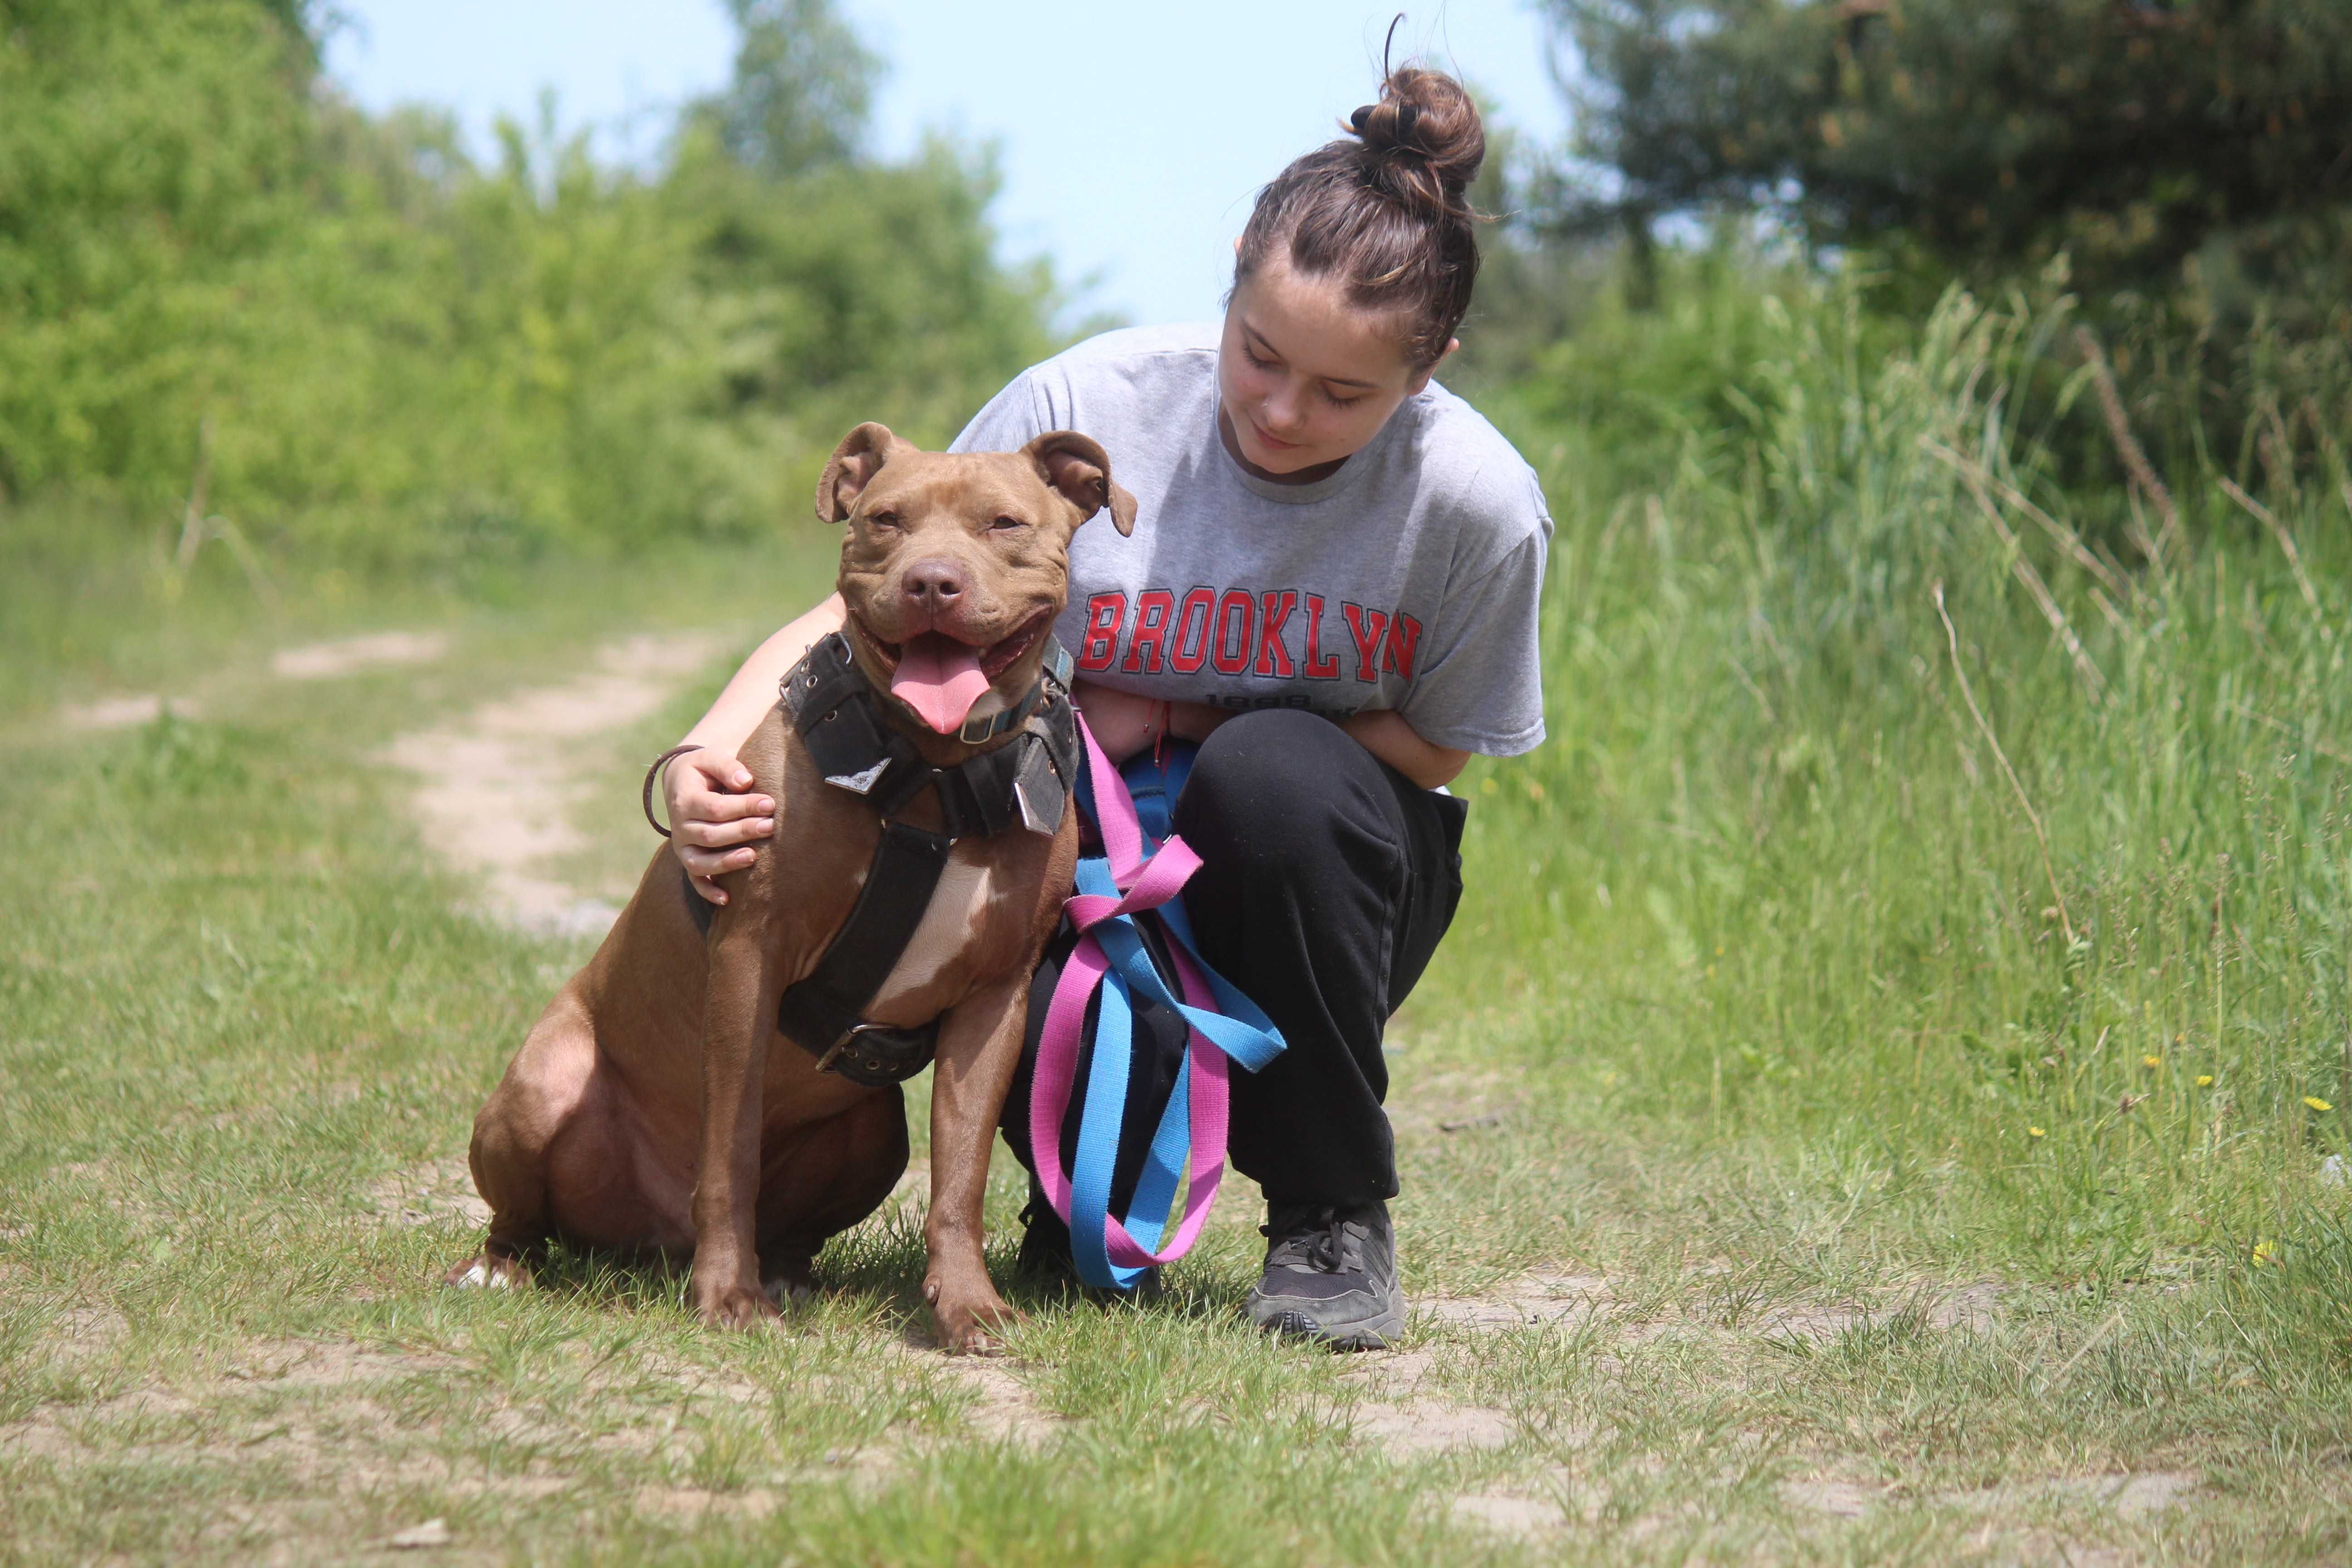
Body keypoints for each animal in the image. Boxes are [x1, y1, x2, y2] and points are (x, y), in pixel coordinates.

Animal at [449, 423, 1138, 1354]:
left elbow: (959, 1174)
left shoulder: (995, 998)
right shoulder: (751, 955)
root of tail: (649, 1241)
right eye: (885, 520)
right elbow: (730, 1148)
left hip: (875, 1134)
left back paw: (785, 1272)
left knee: (803, 1222)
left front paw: (968, 1305)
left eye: (1003, 523)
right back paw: (505, 1265)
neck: (932, 775)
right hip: (541, 1088)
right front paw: (727, 1294)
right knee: (524, 1214)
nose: (932, 581)